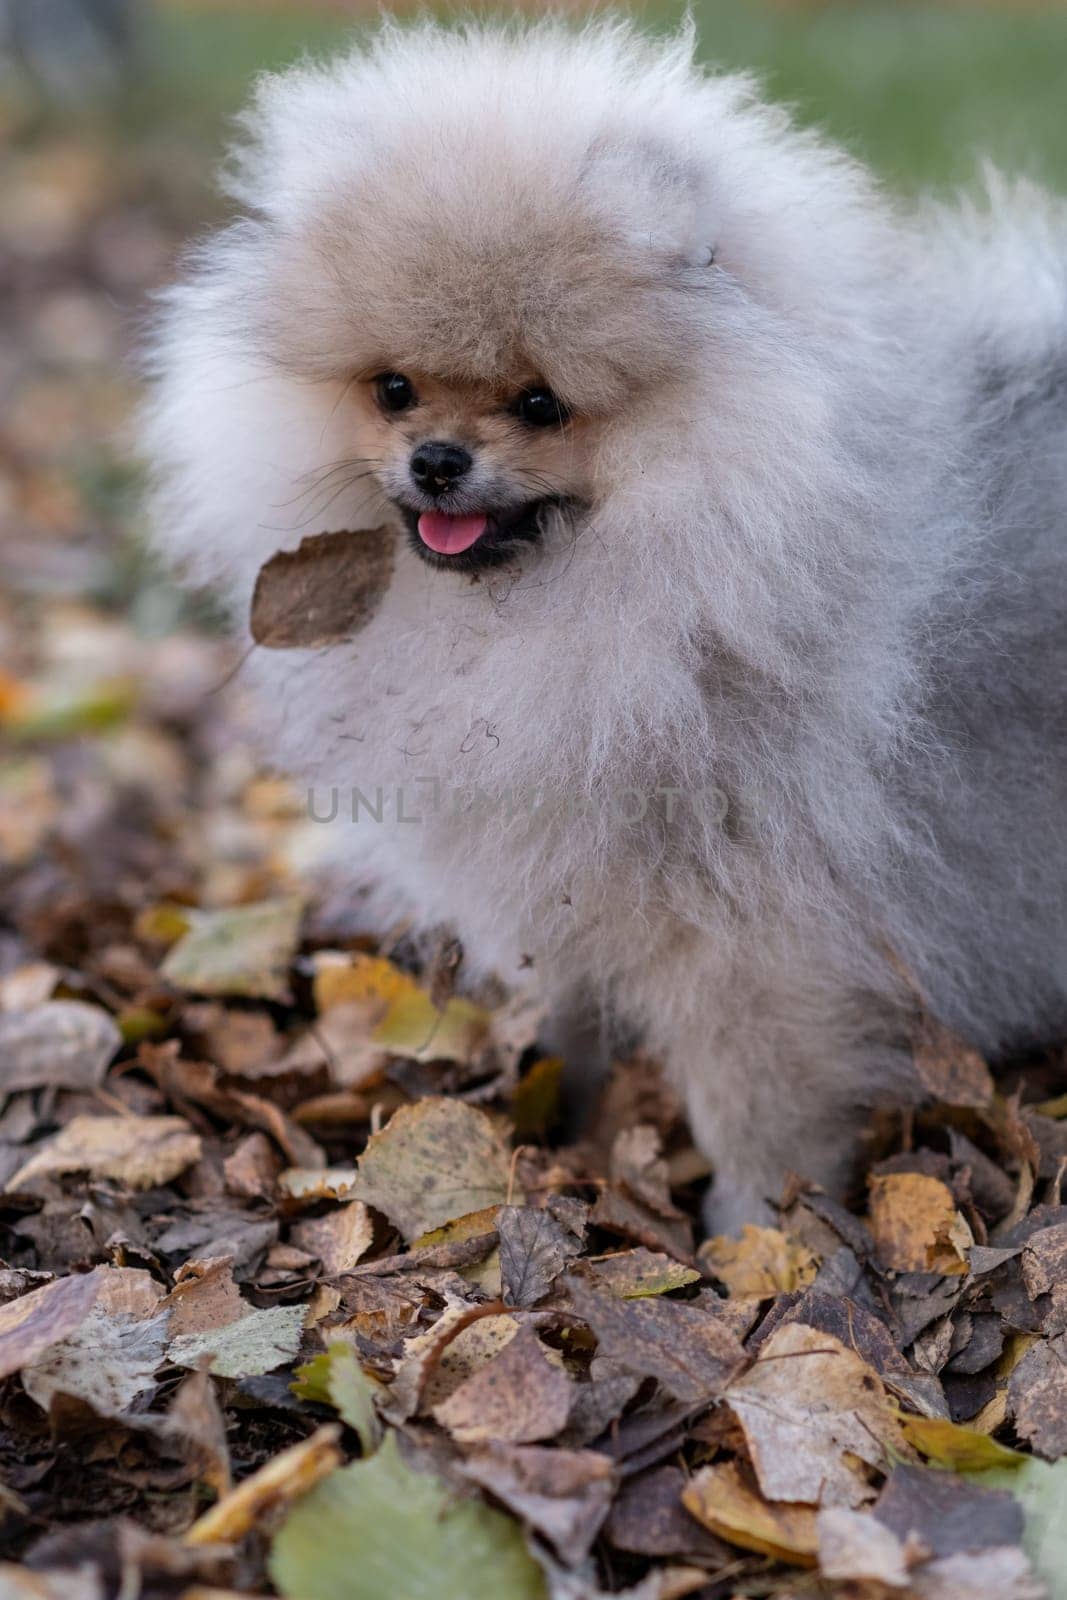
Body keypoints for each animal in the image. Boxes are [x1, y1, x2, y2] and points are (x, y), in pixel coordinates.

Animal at [141, 18, 1067, 1228]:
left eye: (541, 404)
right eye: (392, 389)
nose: (438, 460)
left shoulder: (759, 929)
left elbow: (756, 1099)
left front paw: (755, 1232)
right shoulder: (565, 868)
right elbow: (570, 1010)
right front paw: (555, 1115)